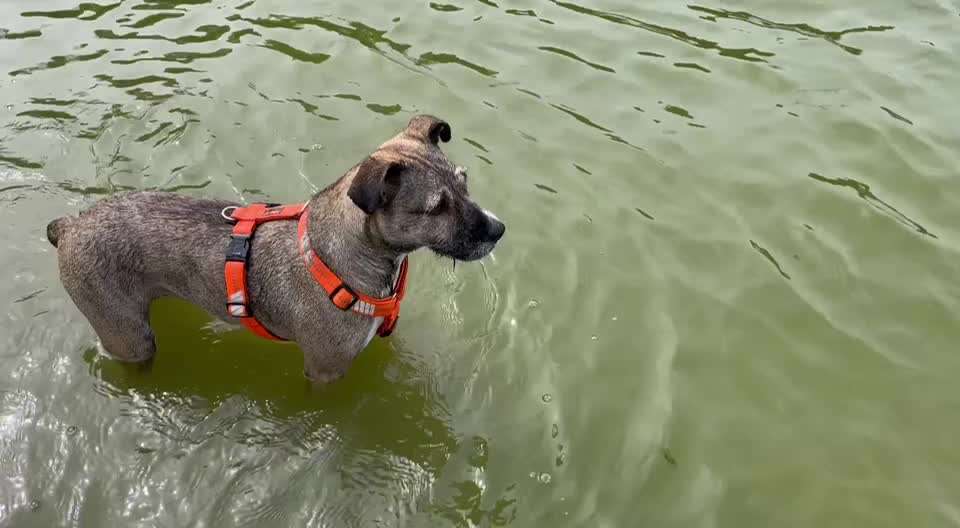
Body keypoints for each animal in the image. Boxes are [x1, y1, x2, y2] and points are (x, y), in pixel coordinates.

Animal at [47, 113, 506, 382]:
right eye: (436, 207)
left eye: (464, 181)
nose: (499, 229)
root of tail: (69, 226)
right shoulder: (325, 372)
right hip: (128, 337)